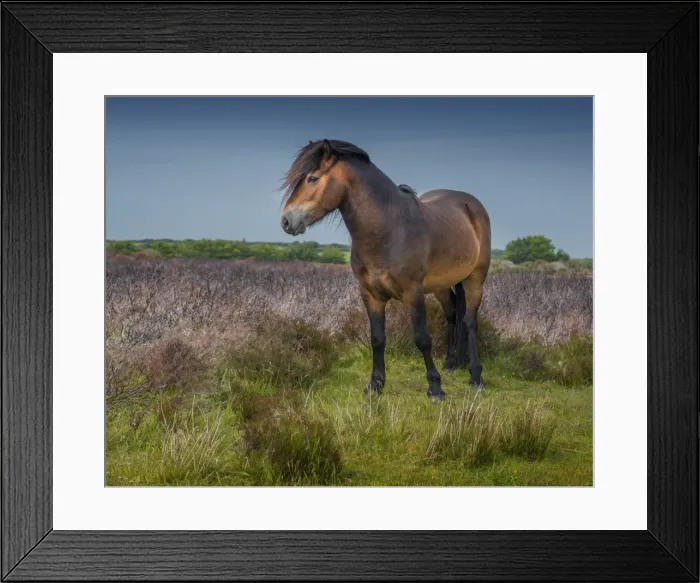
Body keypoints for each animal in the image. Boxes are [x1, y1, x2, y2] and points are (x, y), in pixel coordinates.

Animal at [280, 139, 491, 401]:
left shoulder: (414, 293)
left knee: (469, 321)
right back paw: (452, 363)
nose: (286, 221)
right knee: (452, 314)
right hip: (441, 285)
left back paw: (476, 377)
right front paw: (375, 385)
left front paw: (435, 388)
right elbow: (377, 339)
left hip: (475, 279)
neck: (389, 230)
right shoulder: (371, 295)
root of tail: (470, 204)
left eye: (312, 178)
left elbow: (422, 338)